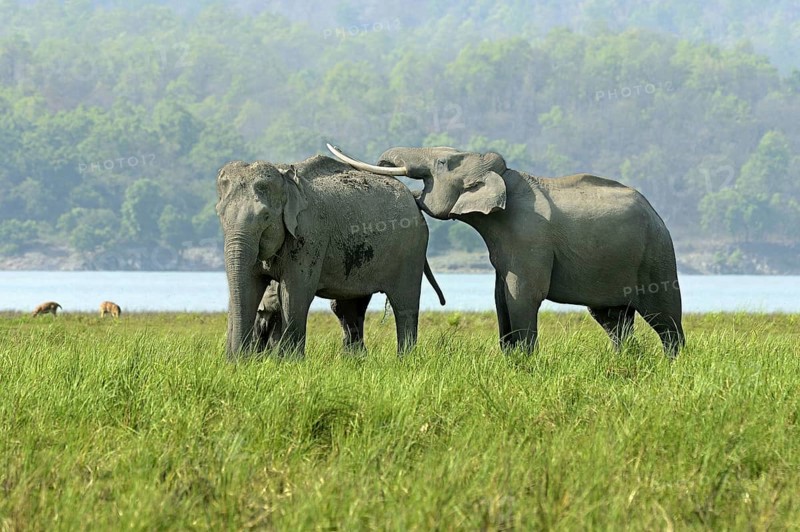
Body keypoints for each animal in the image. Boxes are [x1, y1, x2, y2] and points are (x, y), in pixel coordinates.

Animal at [216, 154, 446, 358]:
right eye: (220, 214)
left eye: (265, 216)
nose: (238, 357)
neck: (286, 180)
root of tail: (413, 198)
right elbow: (250, 286)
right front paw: (238, 363)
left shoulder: (309, 235)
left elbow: (295, 293)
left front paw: (289, 362)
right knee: (349, 306)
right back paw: (355, 360)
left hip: (411, 249)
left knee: (404, 304)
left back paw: (404, 359)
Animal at [327, 144, 685, 357]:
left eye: (442, 162)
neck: (503, 176)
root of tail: (658, 216)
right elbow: (501, 298)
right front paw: (511, 360)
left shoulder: (528, 239)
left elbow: (522, 296)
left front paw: (526, 363)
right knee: (613, 319)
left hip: (656, 255)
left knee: (664, 317)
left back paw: (672, 363)